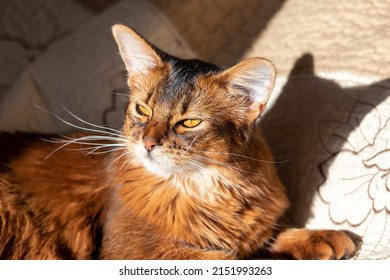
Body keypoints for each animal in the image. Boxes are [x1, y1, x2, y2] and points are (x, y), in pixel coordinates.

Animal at [0, 24, 360, 260]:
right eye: (143, 109)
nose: (148, 143)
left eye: (189, 122)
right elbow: (237, 256)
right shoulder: (134, 251)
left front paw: (319, 236)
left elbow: (266, 236)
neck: (207, 189)